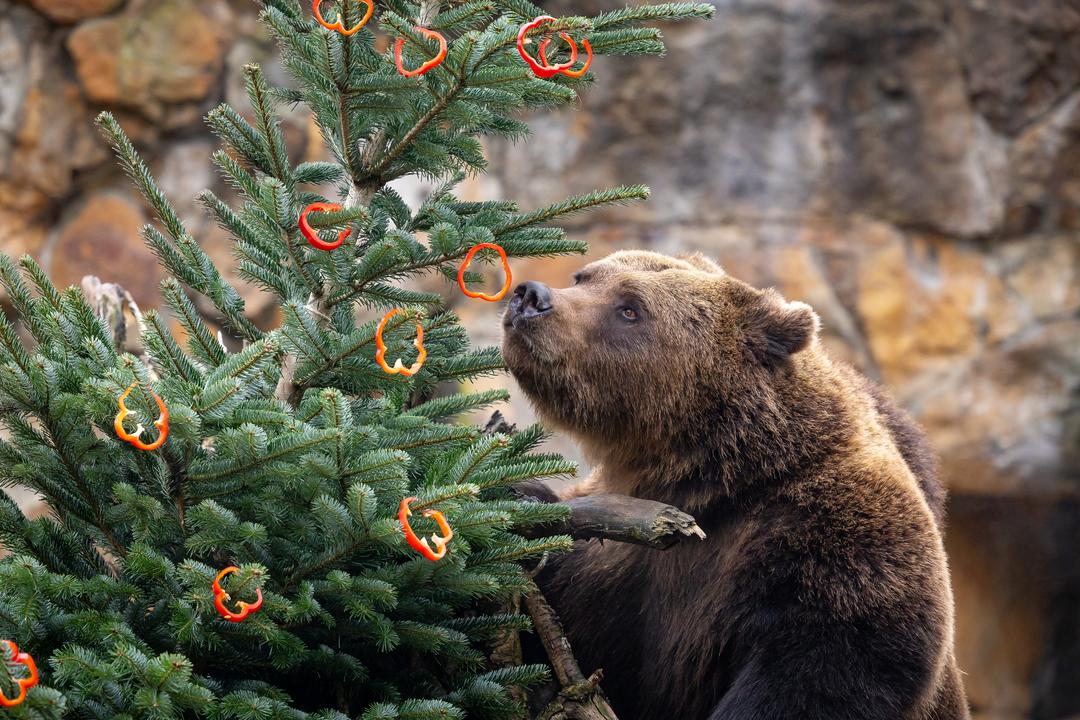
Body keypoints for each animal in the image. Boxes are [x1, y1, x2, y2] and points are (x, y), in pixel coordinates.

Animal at [501, 252, 967, 720]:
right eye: (584, 276)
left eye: (630, 308)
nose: (530, 296)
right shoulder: (613, 571)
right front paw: (520, 499)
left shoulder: (835, 538)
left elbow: (826, 665)